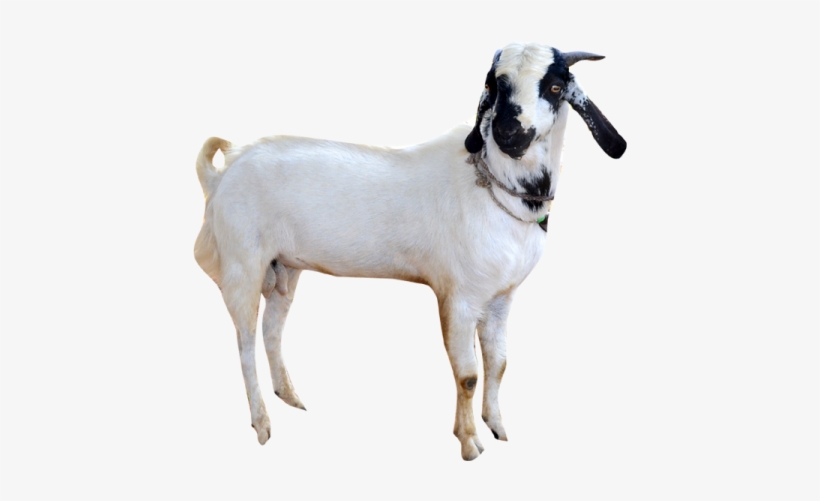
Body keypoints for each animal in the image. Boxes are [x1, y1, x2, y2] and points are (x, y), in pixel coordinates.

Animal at [194, 42, 626, 460]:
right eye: (495, 85)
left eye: (554, 86)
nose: (509, 133)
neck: (494, 190)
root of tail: (223, 173)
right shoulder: (458, 297)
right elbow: (467, 375)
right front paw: (469, 444)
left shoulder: (501, 296)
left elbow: (499, 363)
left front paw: (497, 426)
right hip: (241, 264)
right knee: (245, 340)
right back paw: (262, 424)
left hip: (283, 267)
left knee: (272, 329)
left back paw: (290, 396)